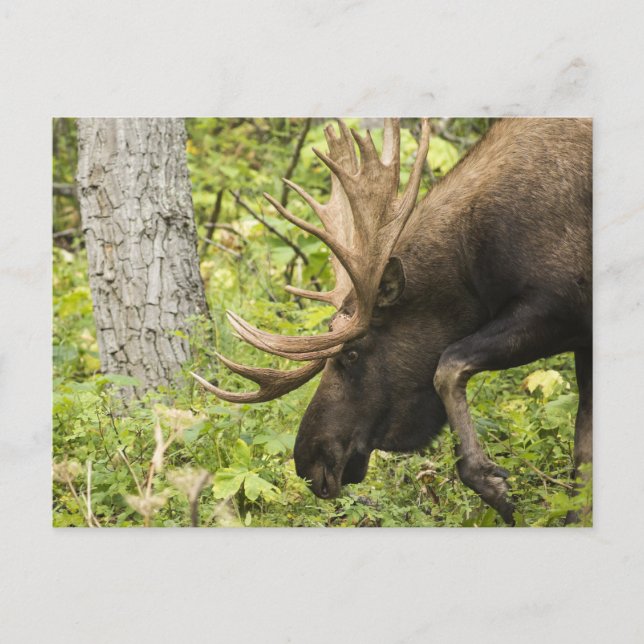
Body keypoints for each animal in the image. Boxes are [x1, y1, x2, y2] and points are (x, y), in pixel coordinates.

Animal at [191, 117, 592, 525]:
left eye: (351, 354)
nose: (309, 462)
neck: (474, 265)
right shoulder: (580, 338)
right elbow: (583, 453)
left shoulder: (560, 306)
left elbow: (448, 364)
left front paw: (494, 484)